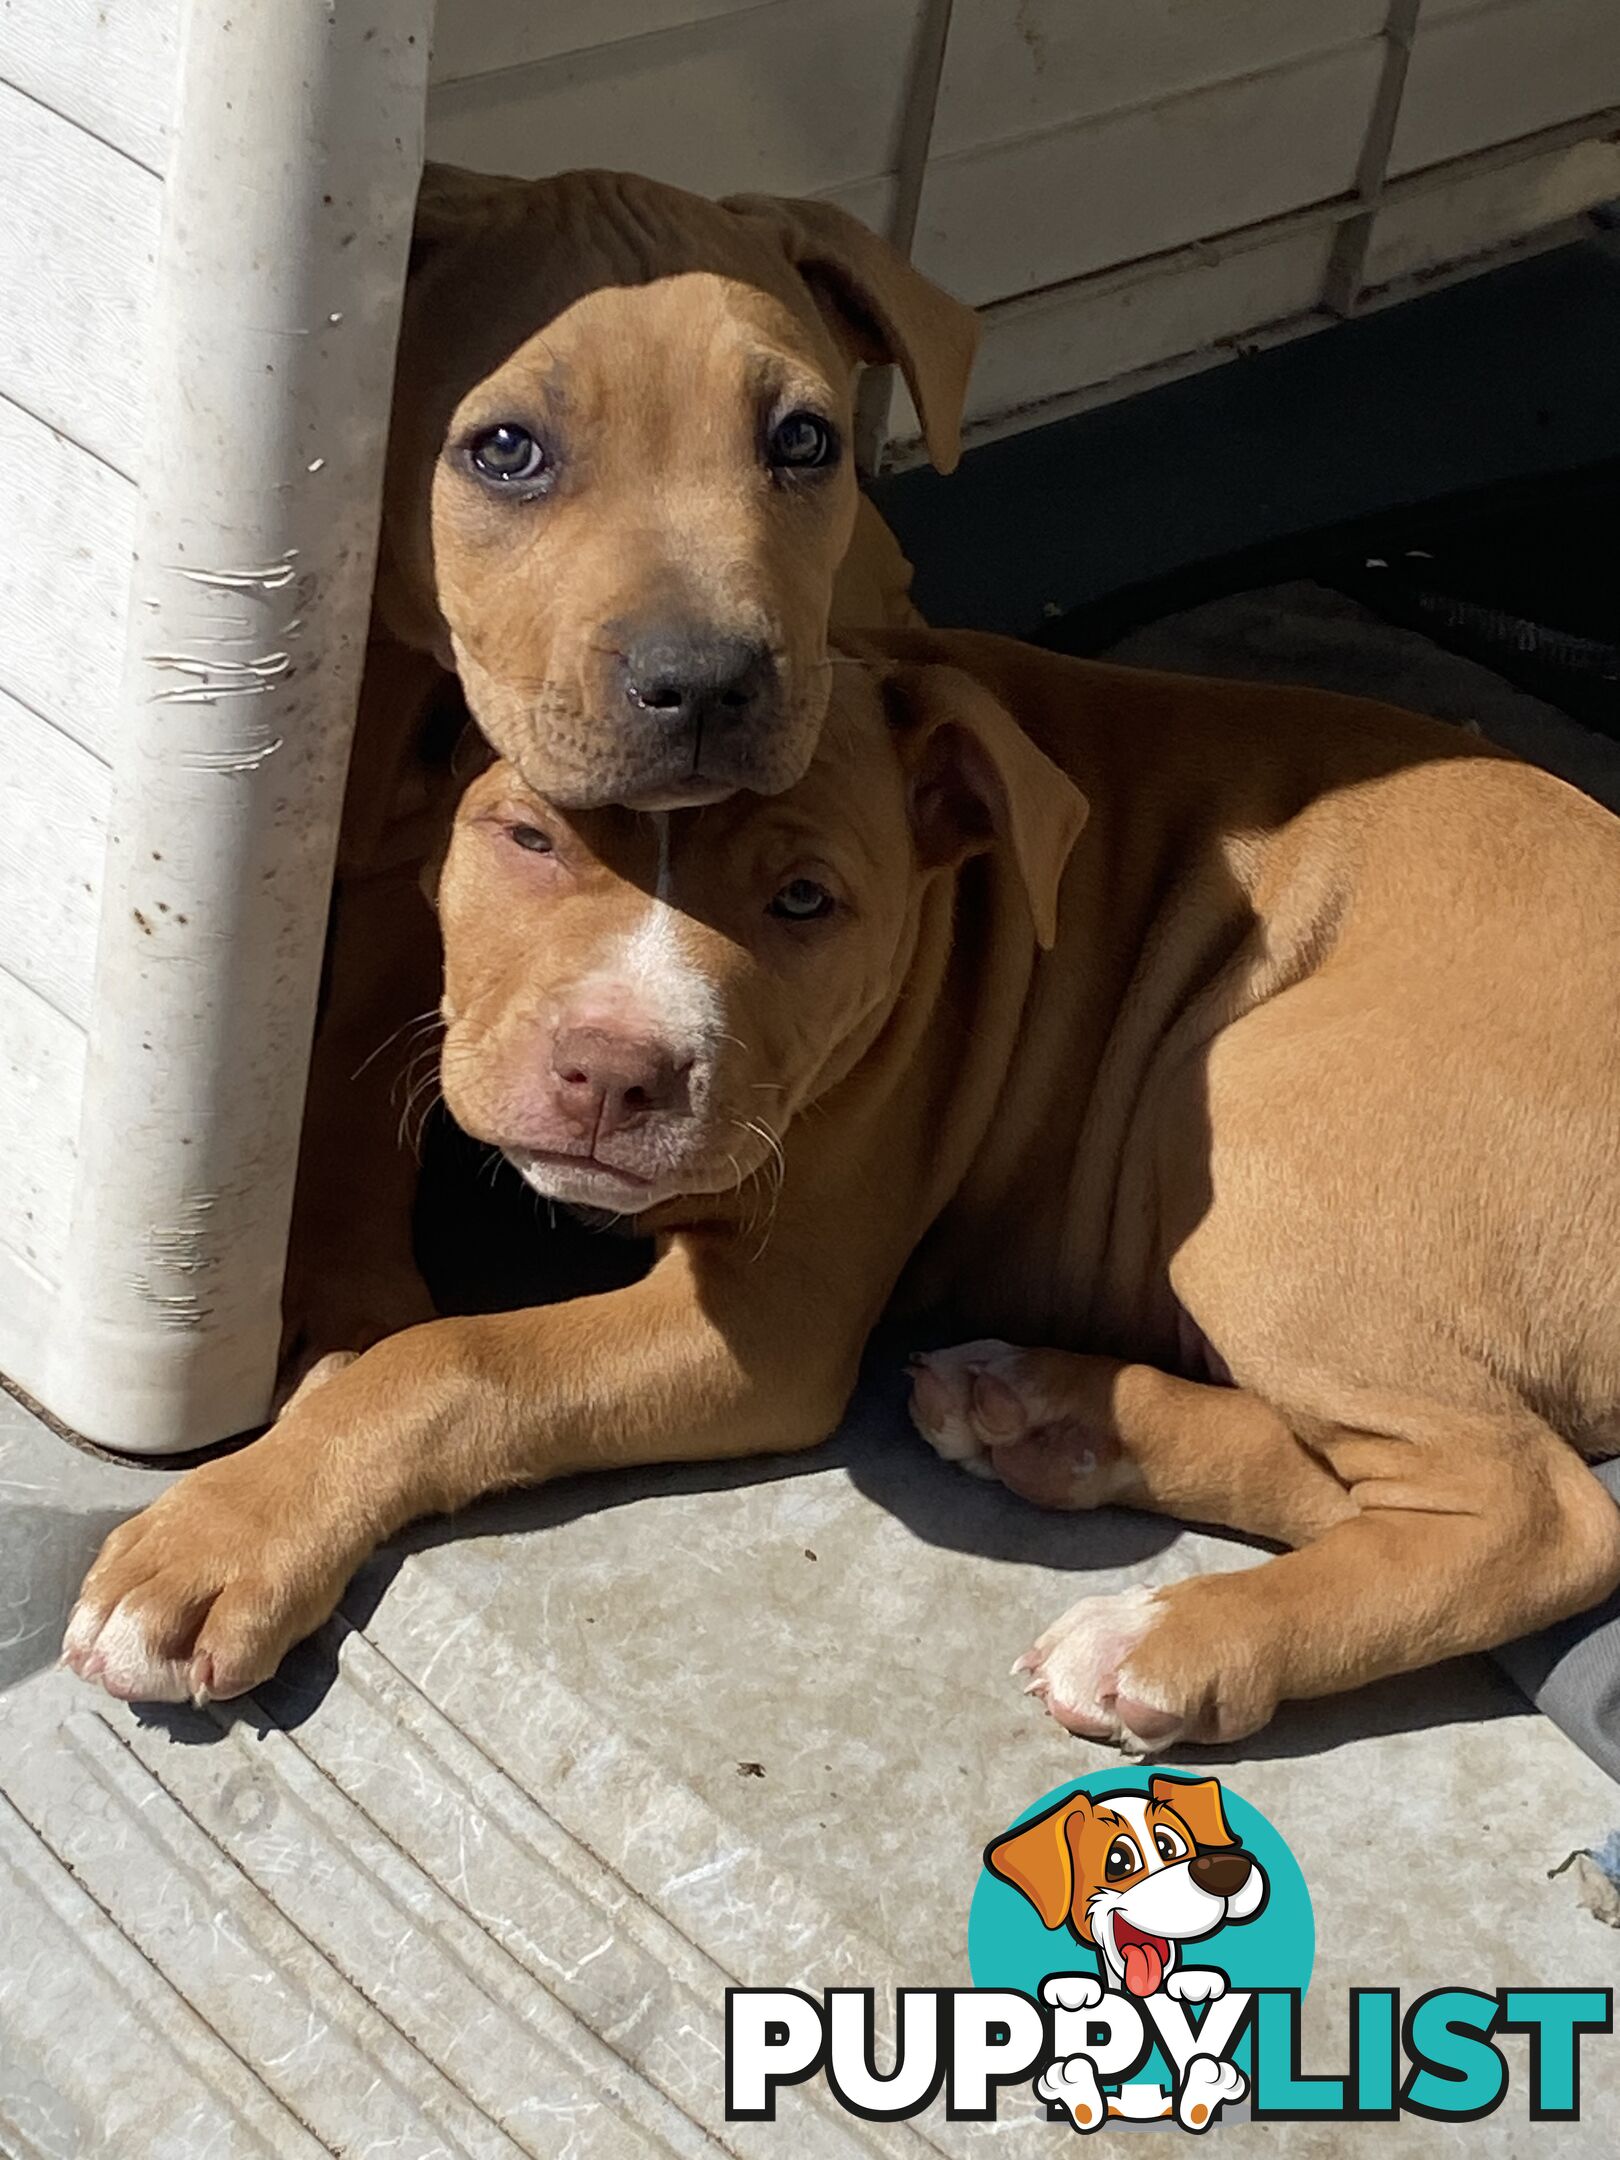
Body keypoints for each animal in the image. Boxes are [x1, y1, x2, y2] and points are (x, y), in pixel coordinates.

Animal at [63, 626, 1620, 1736]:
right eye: (531, 837)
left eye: (806, 901)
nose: (614, 1074)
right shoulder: (405, 950)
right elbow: (336, 1117)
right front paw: (340, 1316)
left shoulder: (770, 1323)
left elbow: (456, 1365)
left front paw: (225, 1533)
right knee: (1393, 1481)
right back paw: (1050, 1417)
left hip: (1252, 1105)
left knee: (1542, 1516)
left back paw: (1177, 1640)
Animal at [282, 164, 976, 1365]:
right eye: (505, 450)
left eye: (804, 440)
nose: (704, 684)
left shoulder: (408, 891)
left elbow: (358, 1070)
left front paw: (353, 1305)